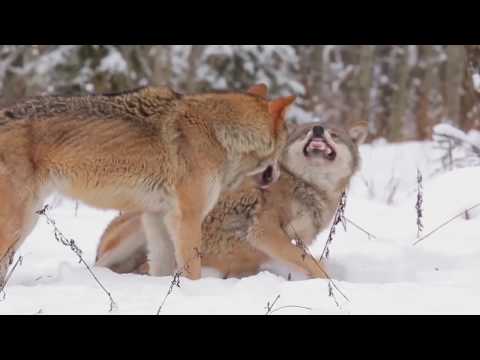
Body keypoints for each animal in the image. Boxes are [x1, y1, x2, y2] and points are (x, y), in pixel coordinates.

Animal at [0, 83, 292, 282]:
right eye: (284, 145)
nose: (279, 175)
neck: (220, 134)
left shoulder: (157, 218)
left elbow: (161, 270)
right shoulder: (187, 218)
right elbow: (192, 271)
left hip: (27, 223)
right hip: (18, 224)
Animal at [96, 121, 368, 278]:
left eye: (334, 134)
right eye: (305, 134)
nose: (318, 130)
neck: (307, 184)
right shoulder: (264, 232)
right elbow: (316, 266)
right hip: (141, 230)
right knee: (101, 264)